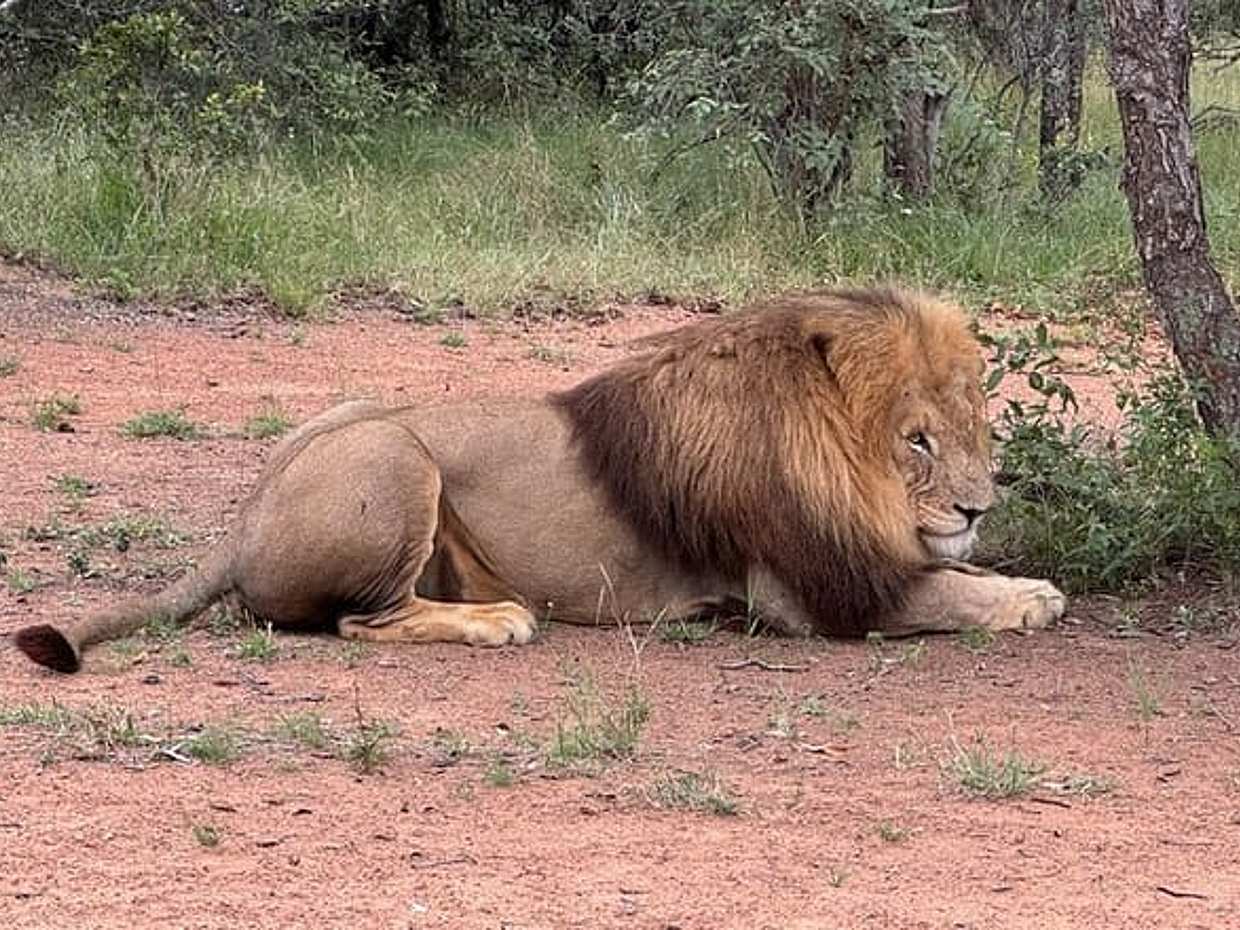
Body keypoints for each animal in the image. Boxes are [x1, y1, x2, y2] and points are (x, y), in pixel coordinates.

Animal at [15, 286, 1065, 674]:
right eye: (916, 441)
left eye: (973, 429)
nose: (978, 504)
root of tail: (241, 520)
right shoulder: (803, 592)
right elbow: (936, 593)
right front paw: (1027, 598)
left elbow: (947, 572)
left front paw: (1008, 574)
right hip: (396, 456)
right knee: (361, 621)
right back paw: (495, 619)